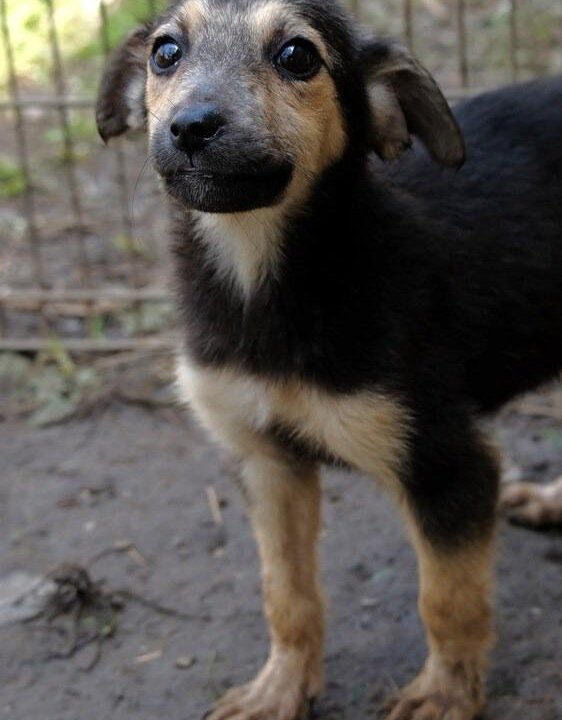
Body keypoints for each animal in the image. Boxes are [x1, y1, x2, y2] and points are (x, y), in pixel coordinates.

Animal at [96, 2, 560, 716]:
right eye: (165, 52)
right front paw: (280, 688)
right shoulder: (264, 461)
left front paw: (444, 695)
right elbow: (286, 595)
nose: (192, 126)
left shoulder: (447, 463)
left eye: (298, 57)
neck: (264, 281)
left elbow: (447, 600)